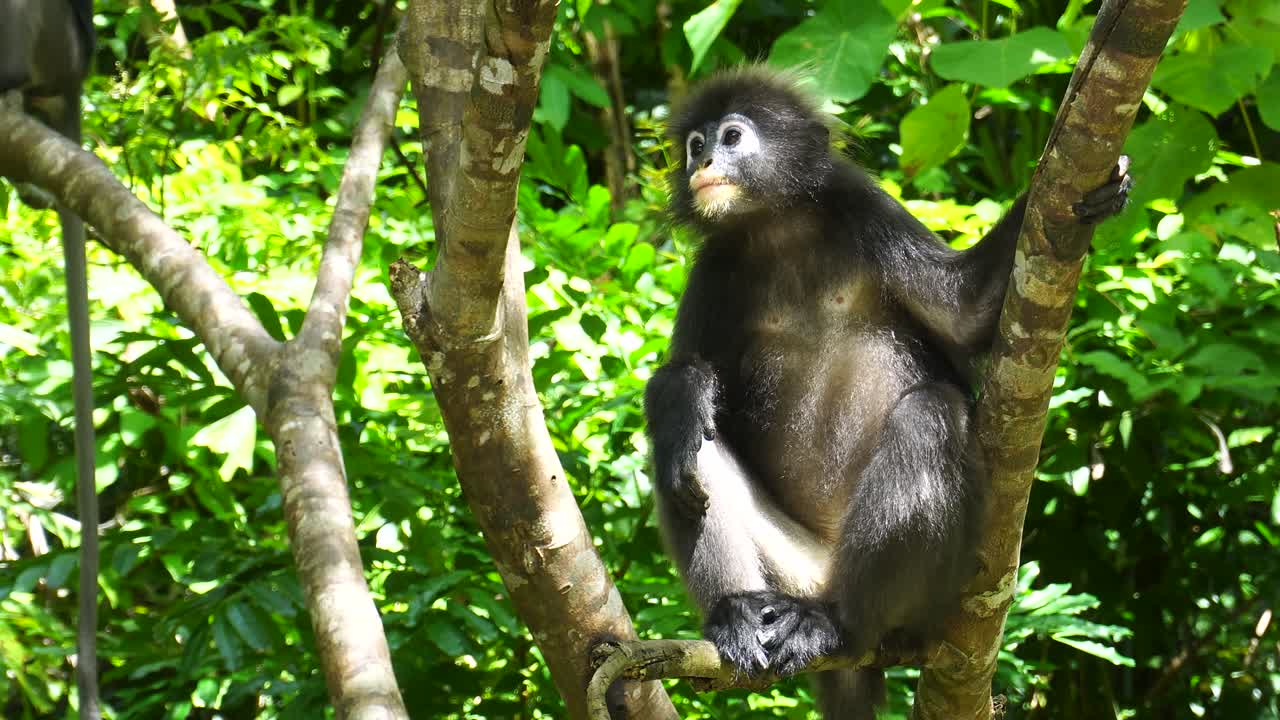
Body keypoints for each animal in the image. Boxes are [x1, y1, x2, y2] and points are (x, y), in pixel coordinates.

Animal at [644, 68, 1131, 718]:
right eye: (695, 144)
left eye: (731, 136)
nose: (703, 163)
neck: (779, 231)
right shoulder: (715, 267)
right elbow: (681, 377)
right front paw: (685, 399)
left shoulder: (864, 213)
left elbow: (968, 314)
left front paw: (1090, 194)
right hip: (790, 573)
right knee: (686, 455)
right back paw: (735, 615)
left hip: (930, 594)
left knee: (930, 415)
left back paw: (837, 625)